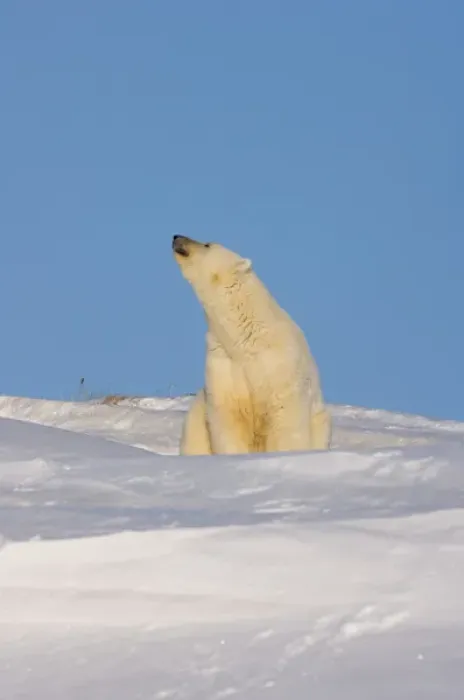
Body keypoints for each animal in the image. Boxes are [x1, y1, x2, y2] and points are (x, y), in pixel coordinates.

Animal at [172, 234, 331, 455]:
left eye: (207, 244)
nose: (176, 237)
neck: (244, 340)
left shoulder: (279, 366)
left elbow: (285, 420)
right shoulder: (223, 364)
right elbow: (228, 419)